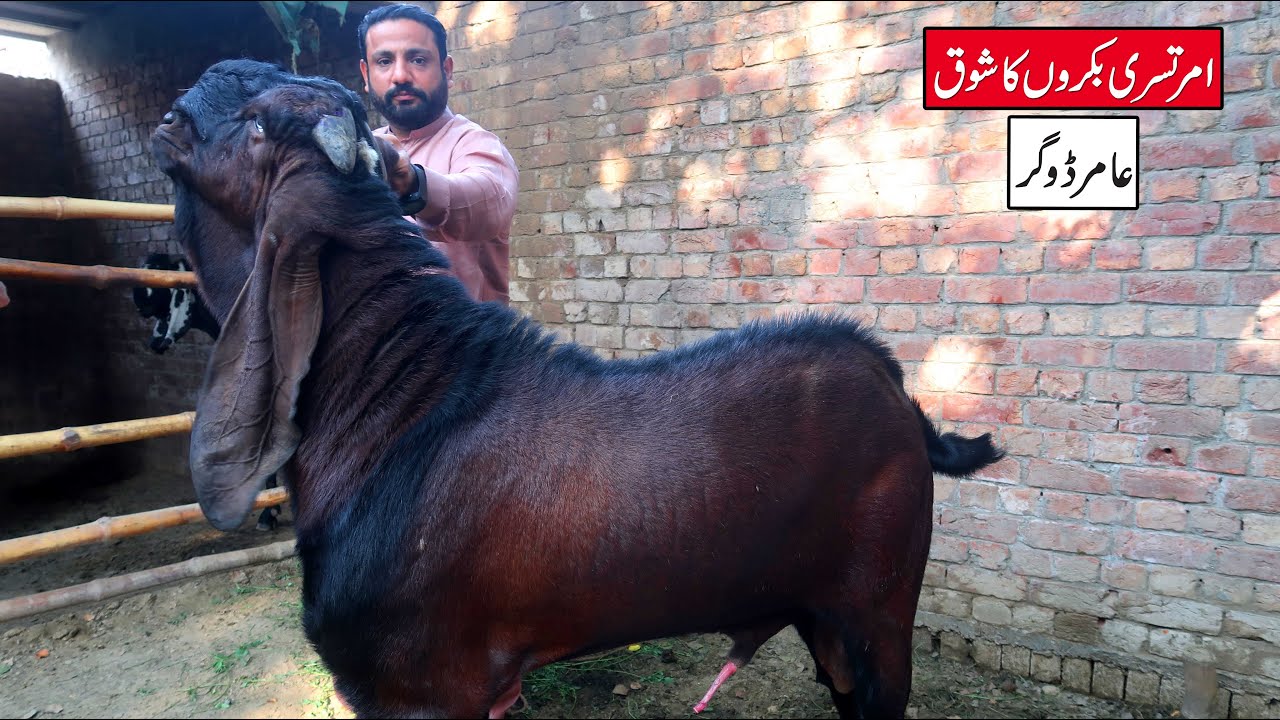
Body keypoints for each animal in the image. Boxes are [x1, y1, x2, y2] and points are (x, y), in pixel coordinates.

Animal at [152, 70, 1003, 719]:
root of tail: (894, 387)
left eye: (257, 124)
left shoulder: (417, 686)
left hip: (878, 612)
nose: (176, 110)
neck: (390, 397)